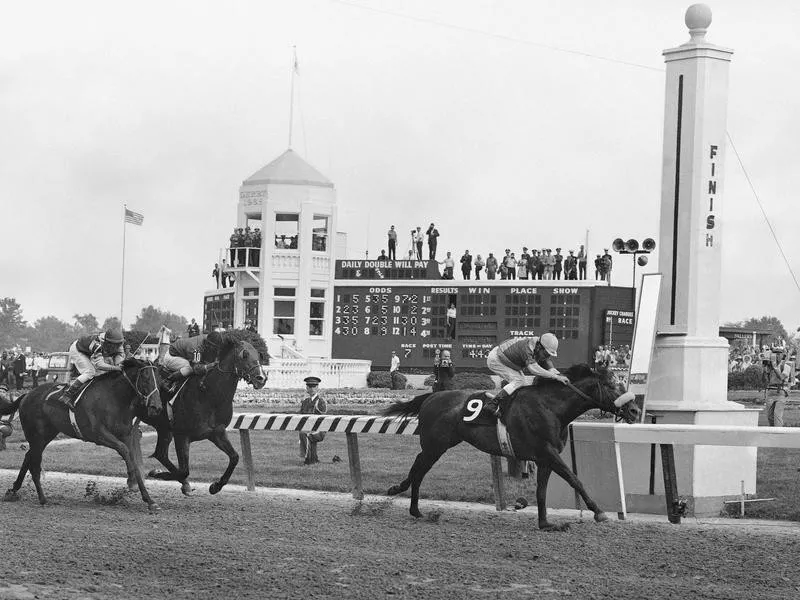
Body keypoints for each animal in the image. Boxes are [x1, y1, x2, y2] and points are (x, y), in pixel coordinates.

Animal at [0, 358, 164, 512]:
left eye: (159, 379)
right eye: (146, 378)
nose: (157, 406)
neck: (114, 398)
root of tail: (27, 394)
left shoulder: (127, 435)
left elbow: (133, 460)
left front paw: (149, 500)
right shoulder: (99, 434)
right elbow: (124, 451)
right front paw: (131, 480)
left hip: (47, 434)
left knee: (28, 456)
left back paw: (13, 491)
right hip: (36, 435)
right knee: (34, 463)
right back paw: (42, 498)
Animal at [142, 338, 268, 496]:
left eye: (259, 354)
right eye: (244, 354)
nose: (261, 378)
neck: (209, 395)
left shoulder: (216, 432)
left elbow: (235, 457)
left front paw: (216, 486)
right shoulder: (181, 435)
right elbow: (184, 470)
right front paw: (156, 473)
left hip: (164, 429)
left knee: (161, 454)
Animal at [384, 366, 640, 528]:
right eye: (611, 385)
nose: (635, 410)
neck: (552, 408)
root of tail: (429, 398)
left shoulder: (545, 458)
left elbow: (541, 490)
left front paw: (545, 523)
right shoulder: (547, 452)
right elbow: (574, 479)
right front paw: (599, 512)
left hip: (438, 446)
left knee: (418, 469)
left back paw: (412, 505)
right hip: (435, 446)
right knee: (418, 469)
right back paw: (404, 497)